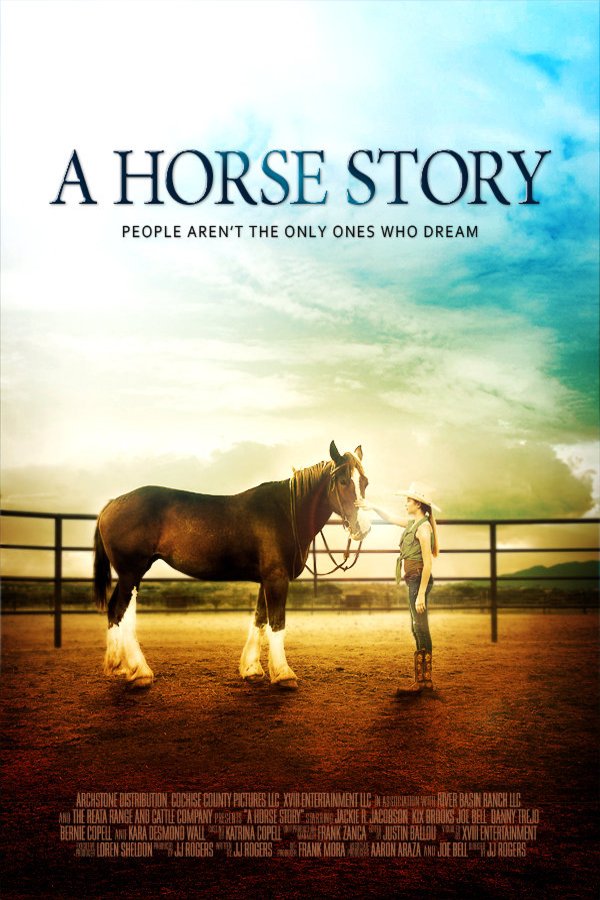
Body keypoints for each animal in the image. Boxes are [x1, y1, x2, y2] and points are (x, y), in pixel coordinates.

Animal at [93, 441, 371, 690]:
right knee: (121, 612)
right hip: (131, 573)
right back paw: (139, 672)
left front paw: (251, 669)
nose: (363, 528)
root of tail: (111, 504)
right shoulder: (276, 578)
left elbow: (259, 620)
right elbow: (277, 623)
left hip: (129, 575)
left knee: (114, 611)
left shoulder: (266, 579)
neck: (286, 512)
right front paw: (283, 674)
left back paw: (118, 666)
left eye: (365, 482)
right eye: (343, 481)